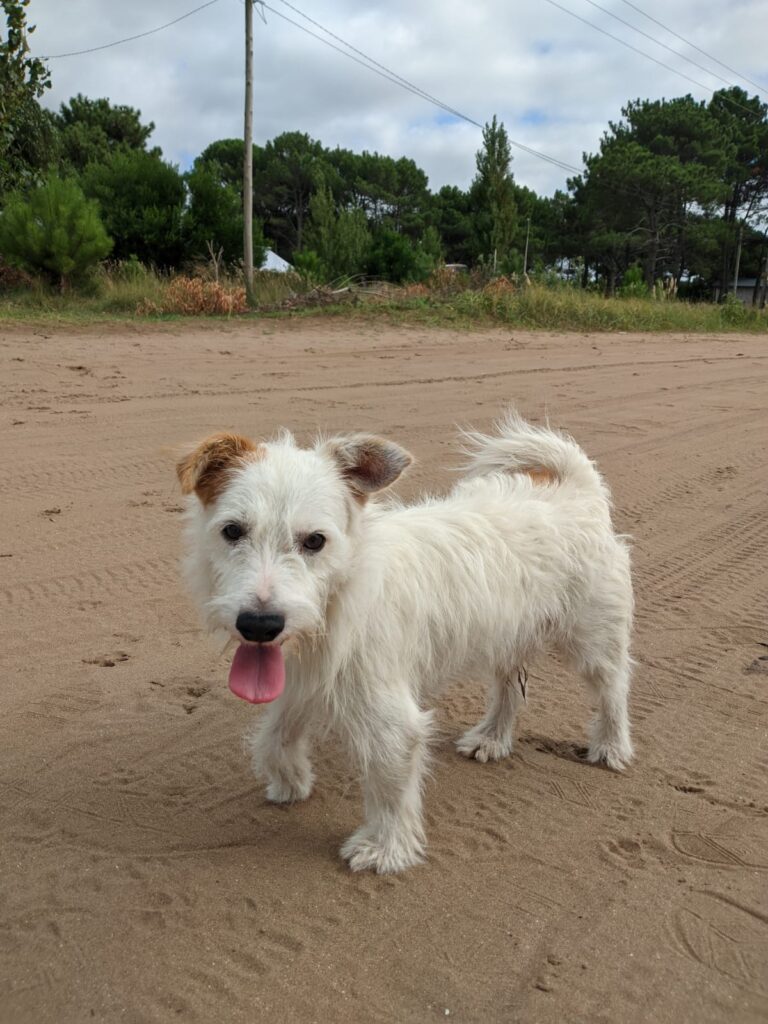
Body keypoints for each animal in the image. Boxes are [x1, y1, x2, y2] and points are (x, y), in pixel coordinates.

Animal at [177, 411, 634, 876]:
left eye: (315, 540)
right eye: (233, 531)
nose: (259, 624)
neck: (339, 599)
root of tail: (576, 490)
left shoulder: (390, 717)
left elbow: (389, 784)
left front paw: (386, 848)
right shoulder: (304, 683)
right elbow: (274, 735)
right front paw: (290, 780)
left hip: (593, 641)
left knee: (612, 688)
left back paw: (611, 747)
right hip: (505, 634)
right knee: (510, 688)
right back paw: (492, 737)